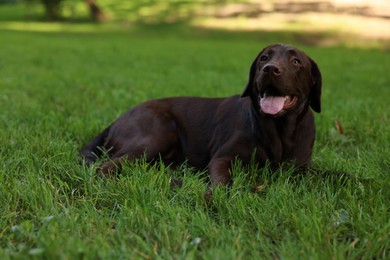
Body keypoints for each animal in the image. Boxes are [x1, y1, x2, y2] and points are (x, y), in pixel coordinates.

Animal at [80, 43, 322, 185]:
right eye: (264, 58)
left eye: (295, 61)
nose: (270, 68)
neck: (279, 130)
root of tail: (116, 120)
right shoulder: (223, 158)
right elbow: (222, 181)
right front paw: (214, 199)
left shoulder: (303, 168)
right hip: (156, 136)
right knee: (105, 167)